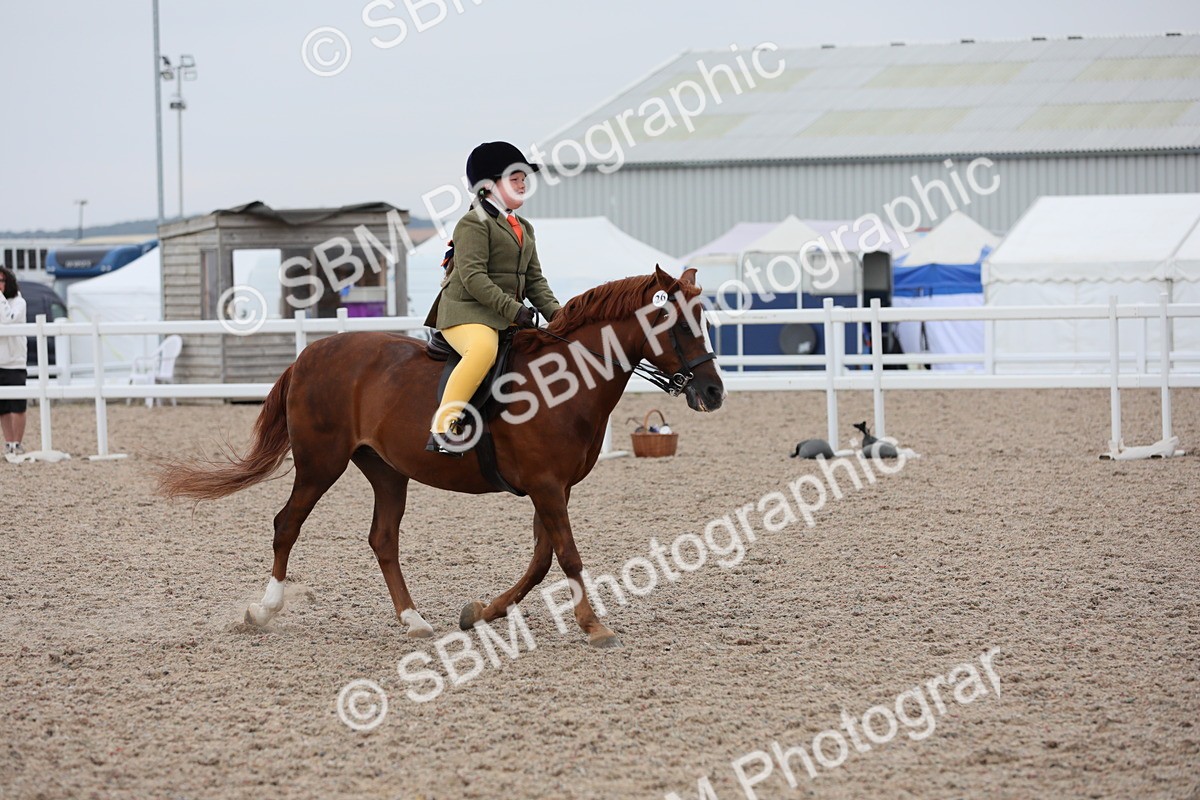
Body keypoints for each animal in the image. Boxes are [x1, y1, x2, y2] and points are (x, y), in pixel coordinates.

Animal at [158, 266, 725, 647]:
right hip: (321, 464)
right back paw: (264, 611)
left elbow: (541, 559)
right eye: (678, 324)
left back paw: (413, 620)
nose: (714, 392)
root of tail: (308, 355)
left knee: (382, 539)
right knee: (287, 524)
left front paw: (481, 612)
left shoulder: (554, 488)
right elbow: (565, 555)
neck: (564, 381)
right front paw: (593, 625)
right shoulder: (546, 485)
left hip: (386, 471)